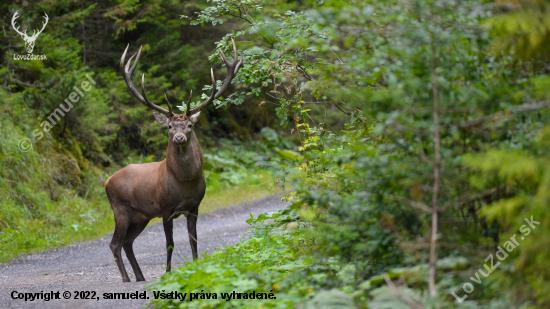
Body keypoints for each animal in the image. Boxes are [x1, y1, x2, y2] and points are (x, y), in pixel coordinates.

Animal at [106, 39, 245, 282]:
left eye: (189, 125)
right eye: (170, 126)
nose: (179, 137)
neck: (185, 184)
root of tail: (106, 181)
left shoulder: (195, 206)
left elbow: (194, 240)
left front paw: (197, 266)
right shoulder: (165, 207)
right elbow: (169, 243)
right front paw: (168, 273)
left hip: (141, 215)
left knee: (127, 242)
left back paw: (140, 277)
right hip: (120, 208)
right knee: (115, 243)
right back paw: (126, 279)